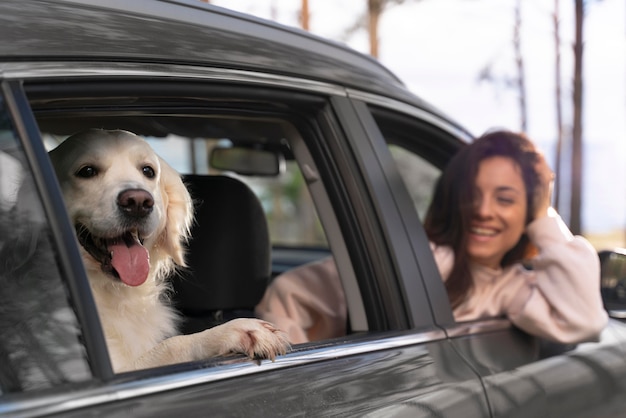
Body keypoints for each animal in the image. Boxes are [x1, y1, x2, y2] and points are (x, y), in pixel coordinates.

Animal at [49, 129, 290, 370]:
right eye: (87, 171)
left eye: (148, 171)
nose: (138, 202)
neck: (115, 293)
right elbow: (172, 345)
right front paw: (235, 330)